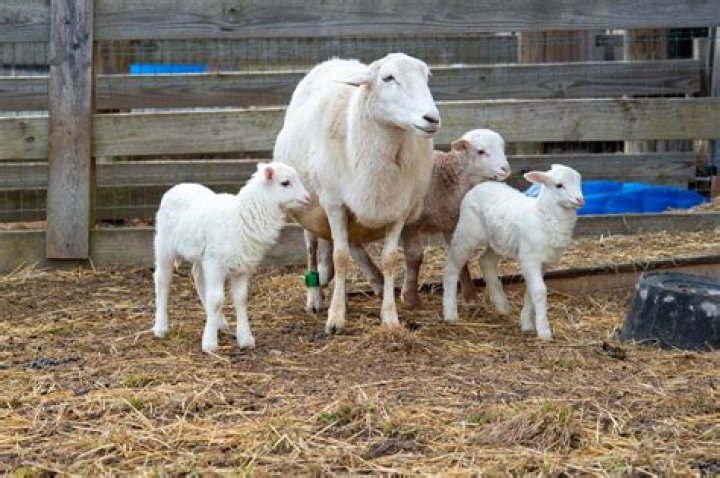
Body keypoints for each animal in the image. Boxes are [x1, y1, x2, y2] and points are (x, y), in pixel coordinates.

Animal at [152, 162, 310, 353]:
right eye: (285, 183)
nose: (308, 198)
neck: (241, 216)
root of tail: (179, 186)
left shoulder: (242, 267)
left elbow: (240, 299)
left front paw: (245, 338)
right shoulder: (215, 264)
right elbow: (216, 299)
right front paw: (209, 343)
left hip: (202, 254)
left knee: (198, 276)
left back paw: (218, 321)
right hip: (164, 243)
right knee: (162, 280)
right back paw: (161, 327)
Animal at [273, 53, 440, 334]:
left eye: (427, 77)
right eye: (388, 77)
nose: (432, 118)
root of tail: (336, 59)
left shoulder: (398, 209)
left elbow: (389, 259)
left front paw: (390, 316)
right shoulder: (334, 204)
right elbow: (340, 258)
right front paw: (336, 317)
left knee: (350, 245)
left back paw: (371, 283)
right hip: (309, 206)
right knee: (313, 247)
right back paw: (315, 295)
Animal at [317, 129, 511, 308]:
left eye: (502, 148)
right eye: (481, 151)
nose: (506, 169)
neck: (447, 177)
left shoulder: (451, 223)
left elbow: (459, 256)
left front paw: (471, 297)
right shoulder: (411, 224)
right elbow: (414, 257)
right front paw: (410, 298)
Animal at [442, 164, 584, 340]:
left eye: (579, 181)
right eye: (559, 185)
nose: (580, 200)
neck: (544, 216)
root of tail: (481, 184)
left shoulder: (543, 262)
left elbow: (531, 290)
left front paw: (527, 324)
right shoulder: (529, 258)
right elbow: (539, 291)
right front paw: (544, 331)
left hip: (498, 241)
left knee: (485, 261)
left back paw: (502, 306)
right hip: (467, 231)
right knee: (452, 267)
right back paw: (450, 314)